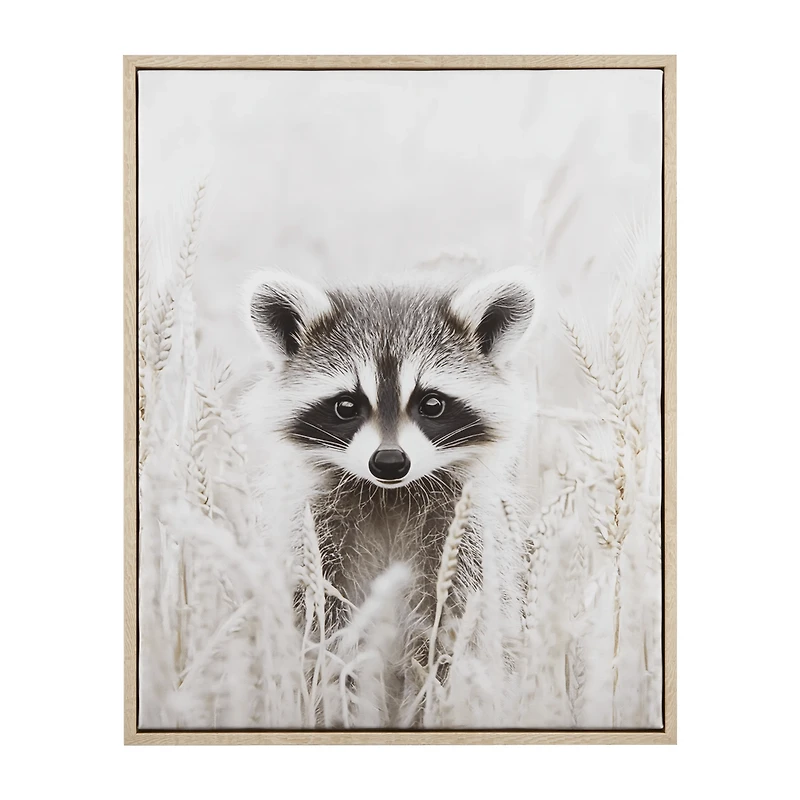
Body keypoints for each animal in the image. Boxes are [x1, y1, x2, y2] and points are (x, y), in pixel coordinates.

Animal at [240, 266, 536, 718]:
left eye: (432, 404)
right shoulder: (311, 539)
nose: (390, 462)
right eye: (346, 406)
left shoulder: (467, 542)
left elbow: (458, 635)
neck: (389, 495)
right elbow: (318, 633)